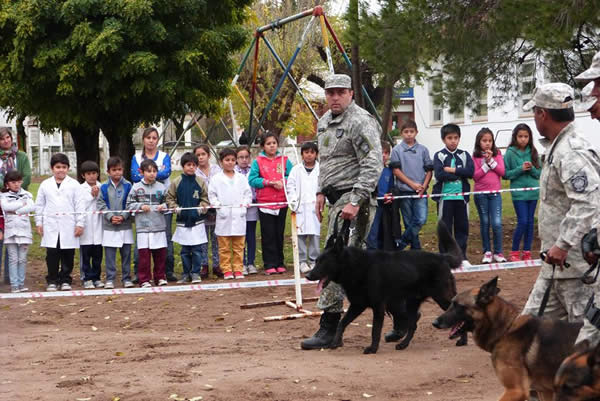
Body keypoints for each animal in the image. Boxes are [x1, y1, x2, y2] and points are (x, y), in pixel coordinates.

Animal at [308, 219, 466, 354]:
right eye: (316, 261)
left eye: (323, 262)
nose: (308, 276)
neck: (354, 266)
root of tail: (442, 257)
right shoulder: (357, 305)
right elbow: (342, 323)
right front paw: (335, 342)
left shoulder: (378, 307)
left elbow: (375, 330)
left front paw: (372, 348)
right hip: (409, 303)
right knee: (412, 324)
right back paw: (403, 344)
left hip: (441, 298)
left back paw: (463, 341)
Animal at [432, 276, 580, 398]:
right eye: (452, 303)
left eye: (458, 306)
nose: (434, 323)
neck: (506, 330)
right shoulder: (545, 392)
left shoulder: (516, 390)